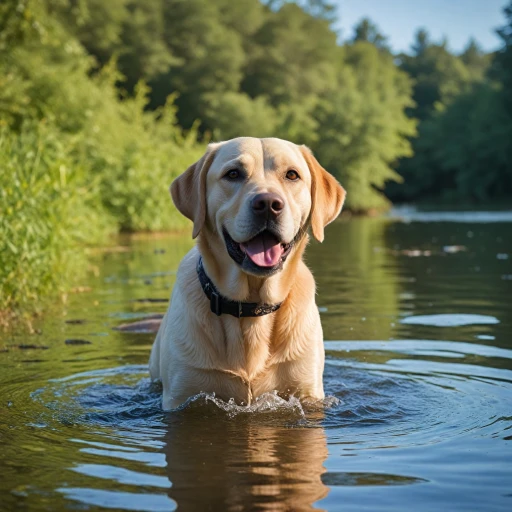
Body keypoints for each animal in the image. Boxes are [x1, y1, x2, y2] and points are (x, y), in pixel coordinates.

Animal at [150, 136, 346, 408]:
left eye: (292, 175)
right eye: (233, 174)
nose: (268, 204)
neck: (251, 306)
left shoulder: (308, 393)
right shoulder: (182, 394)